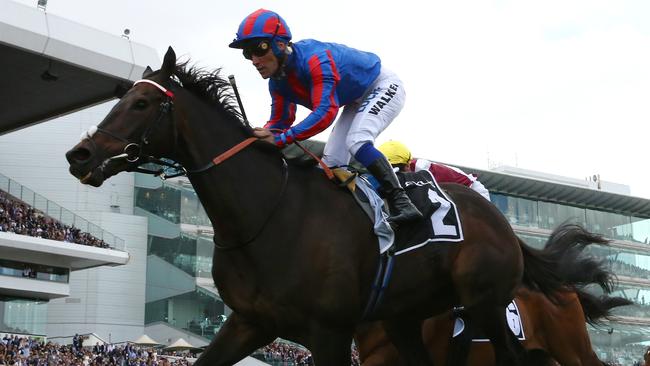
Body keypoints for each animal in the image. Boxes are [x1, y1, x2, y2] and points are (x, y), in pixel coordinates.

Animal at [63, 47, 564, 364]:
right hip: (406, 318)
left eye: (142, 102)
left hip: (486, 305)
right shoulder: (249, 322)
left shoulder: (330, 332)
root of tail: (500, 219)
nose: (79, 155)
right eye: (122, 98)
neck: (267, 214)